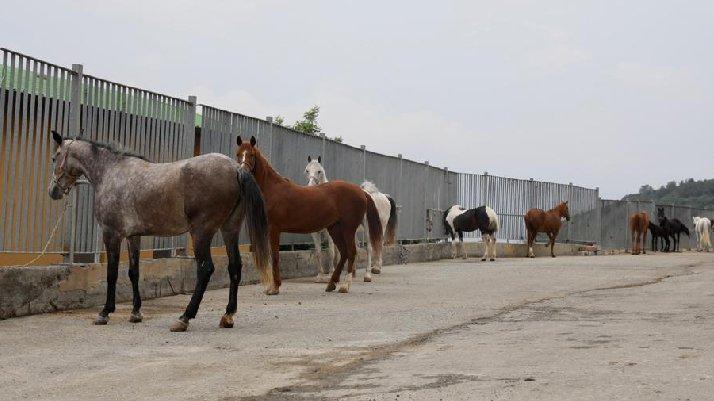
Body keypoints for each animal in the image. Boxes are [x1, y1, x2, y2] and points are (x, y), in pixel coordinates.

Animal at [235, 136, 382, 292]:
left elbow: (274, 256)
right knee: (344, 253)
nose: (242, 173)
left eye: (251, 155)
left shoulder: (274, 229)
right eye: (238, 154)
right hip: (335, 229)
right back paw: (331, 284)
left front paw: (274, 288)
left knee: (352, 252)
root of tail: (362, 192)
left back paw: (345, 285)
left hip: (348, 229)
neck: (273, 189)